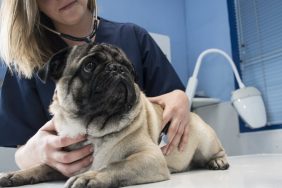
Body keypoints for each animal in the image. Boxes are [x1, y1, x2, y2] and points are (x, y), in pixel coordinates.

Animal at [0, 43, 229, 188]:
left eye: (129, 67)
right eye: (89, 66)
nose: (118, 68)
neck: (92, 128)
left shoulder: (149, 156)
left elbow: (117, 165)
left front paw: (91, 177)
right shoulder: (61, 164)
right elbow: (41, 166)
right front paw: (14, 175)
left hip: (206, 140)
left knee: (218, 150)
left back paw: (218, 161)